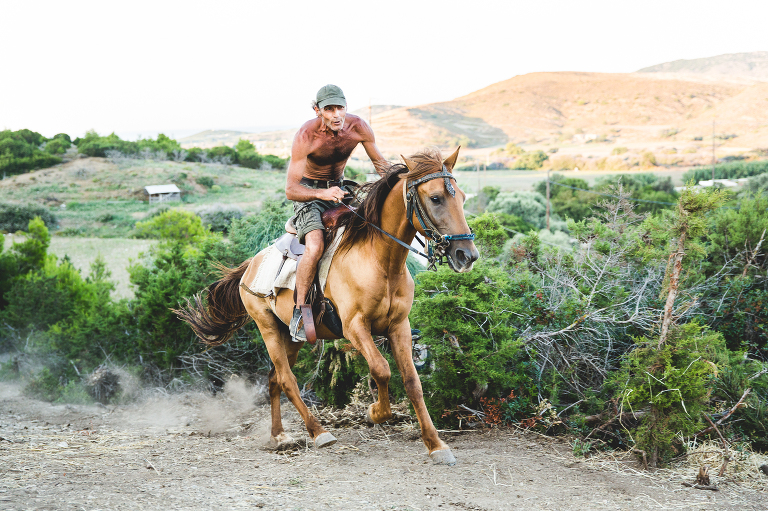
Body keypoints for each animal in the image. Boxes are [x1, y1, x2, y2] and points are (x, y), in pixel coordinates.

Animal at [177, 147, 476, 464]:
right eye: (436, 198)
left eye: (462, 197)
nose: (467, 255)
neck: (379, 260)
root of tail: (251, 265)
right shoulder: (355, 328)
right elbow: (381, 369)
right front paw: (375, 413)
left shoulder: (399, 327)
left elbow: (412, 382)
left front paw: (436, 445)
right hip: (267, 328)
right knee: (287, 379)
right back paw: (318, 432)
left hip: (290, 336)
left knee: (273, 379)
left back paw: (279, 436)